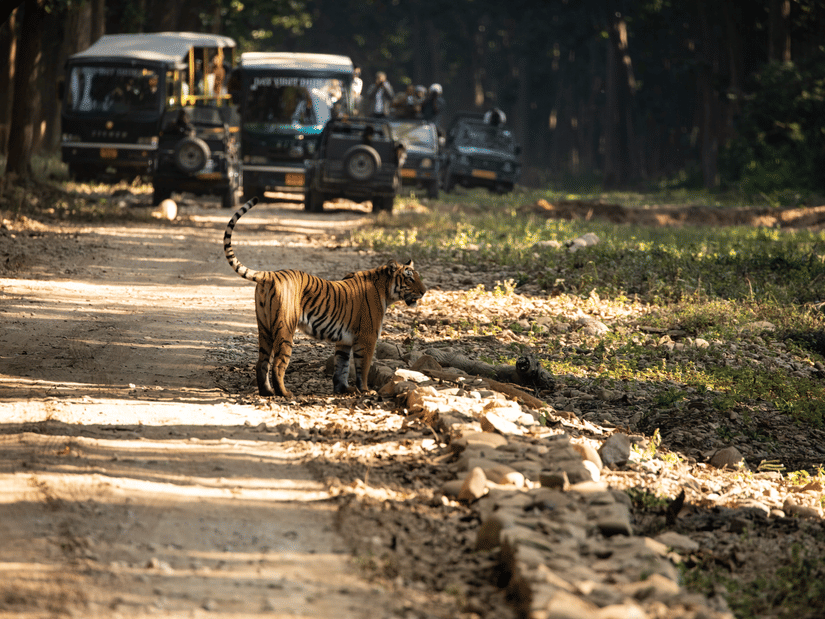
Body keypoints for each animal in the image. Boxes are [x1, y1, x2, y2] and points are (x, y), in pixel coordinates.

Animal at [223, 197, 426, 397]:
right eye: (410, 278)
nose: (424, 291)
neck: (385, 289)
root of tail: (270, 275)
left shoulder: (344, 341)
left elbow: (342, 367)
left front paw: (343, 389)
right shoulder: (367, 338)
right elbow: (363, 368)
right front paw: (365, 390)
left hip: (264, 327)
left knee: (262, 362)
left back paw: (267, 392)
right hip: (285, 328)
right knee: (278, 364)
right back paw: (285, 393)